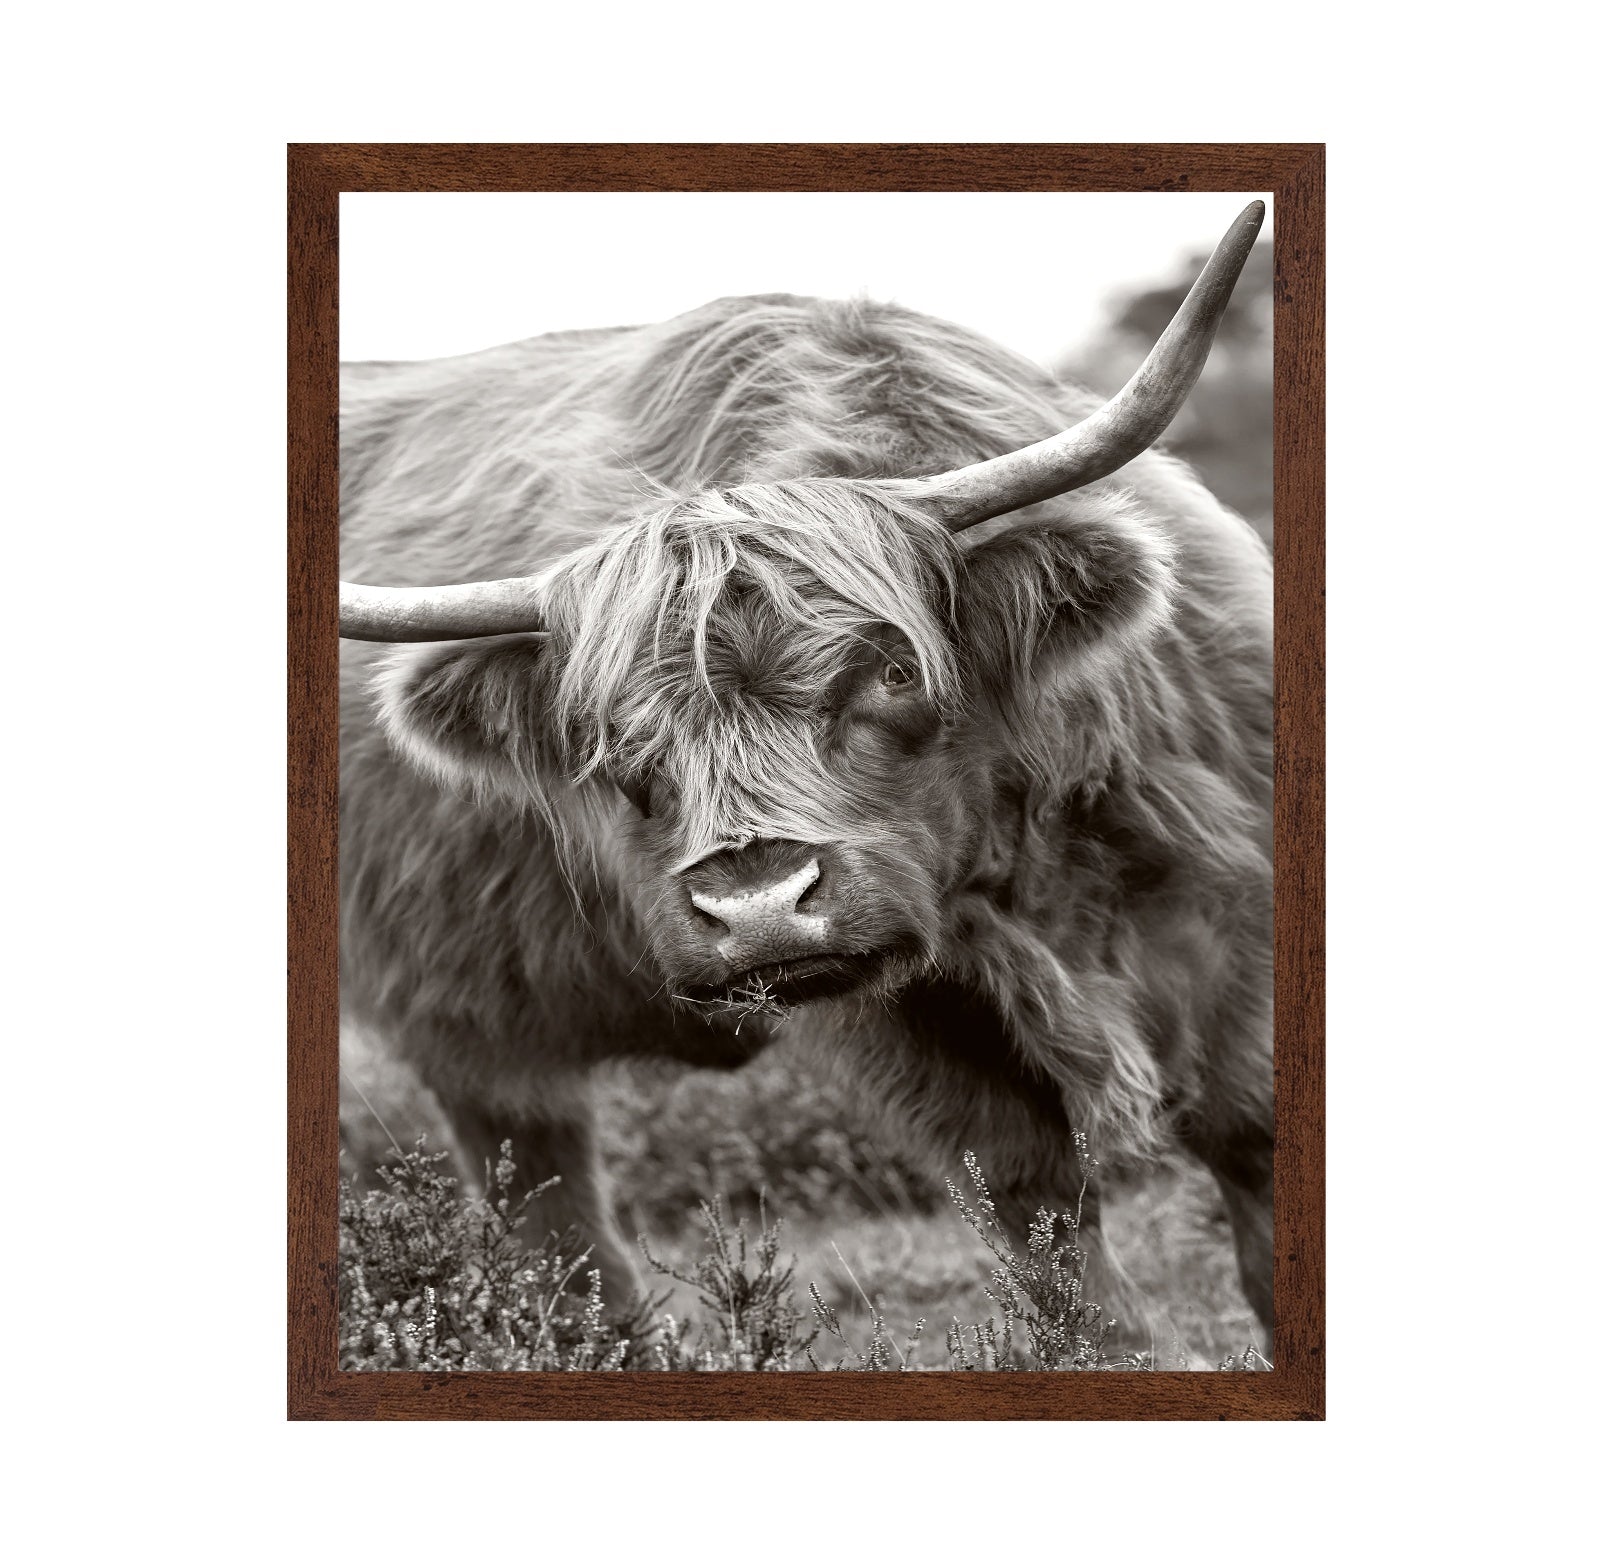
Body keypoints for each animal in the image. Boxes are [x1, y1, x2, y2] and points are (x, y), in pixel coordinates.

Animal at [338, 203, 1275, 1350]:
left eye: (891, 671)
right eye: (611, 735)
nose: (758, 909)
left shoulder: (1231, 914)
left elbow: (1255, 1154)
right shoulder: (916, 1030)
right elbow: (1047, 1224)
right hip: (463, 1019)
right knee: (553, 1215)